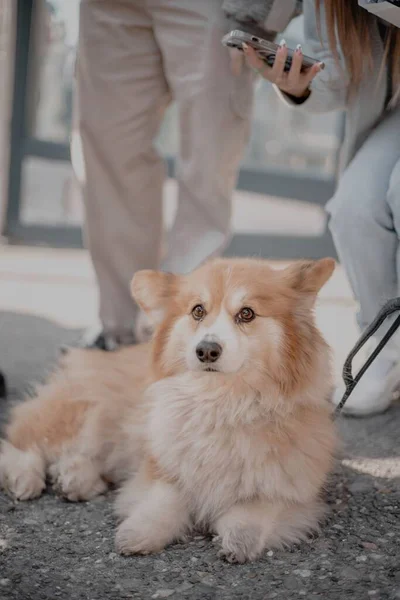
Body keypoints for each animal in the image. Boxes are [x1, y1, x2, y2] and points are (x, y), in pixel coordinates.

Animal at [0, 256, 338, 564]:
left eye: (247, 313)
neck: (222, 402)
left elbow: (255, 513)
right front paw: (137, 534)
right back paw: (25, 477)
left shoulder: (291, 488)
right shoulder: (161, 467)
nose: (206, 350)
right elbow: (163, 501)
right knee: (26, 441)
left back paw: (75, 480)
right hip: (86, 413)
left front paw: (237, 542)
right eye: (198, 310)